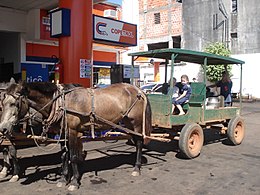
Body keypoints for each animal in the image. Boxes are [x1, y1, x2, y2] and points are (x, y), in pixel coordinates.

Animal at [0, 81, 152, 191]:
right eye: (3, 103)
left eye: (14, 103)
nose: (3, 128)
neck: (62, 102)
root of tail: (138, 90)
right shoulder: (63, 133)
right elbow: (64, 156)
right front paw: (63, 179)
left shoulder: (73, 132)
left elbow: (72, 156)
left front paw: (74, 182)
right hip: (127, 123)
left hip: (137, 123)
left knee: (139, 142)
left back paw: (136, 168)